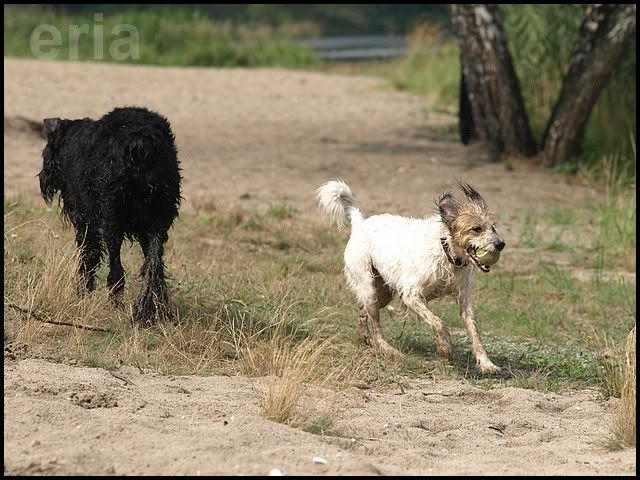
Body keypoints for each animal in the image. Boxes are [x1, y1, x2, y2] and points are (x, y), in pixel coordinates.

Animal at [38, 106, 182, 326]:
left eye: (46, 149)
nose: (43, 177)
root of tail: (141, 144)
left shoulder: (85, 222)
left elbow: (88, 256)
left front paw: (83, 292)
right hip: (159, 219)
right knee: (154, 265)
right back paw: (152, 309)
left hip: (111, 219)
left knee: (116, 267)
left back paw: (118, 300)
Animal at [316, 180, 505, 374]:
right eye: (476, 229)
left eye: (493, 228)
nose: (501, 244)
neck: (446, 252)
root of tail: (360, 224)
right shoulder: (410, 295)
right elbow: (438, 322)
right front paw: (445, 348)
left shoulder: (464, 299)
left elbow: (474, 332)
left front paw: (487, 363)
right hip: (369, 287)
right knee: (376, 326)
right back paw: (388, 349)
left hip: (383, 293)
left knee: (363, 311)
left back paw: (364, 338)